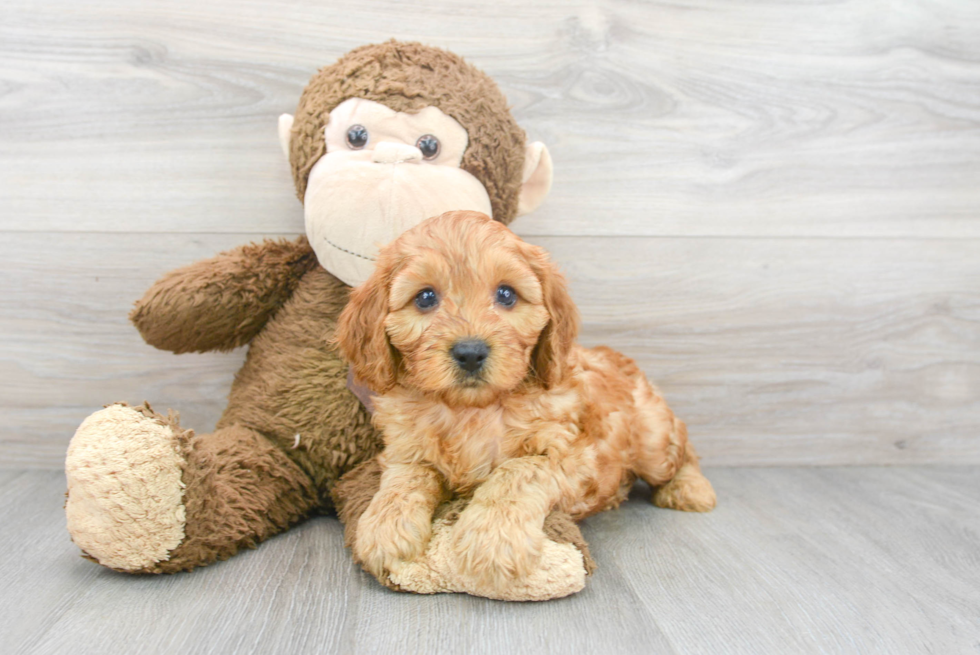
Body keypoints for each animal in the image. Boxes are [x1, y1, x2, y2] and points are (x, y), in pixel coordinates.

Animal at [334, 211, 712, 596]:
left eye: (506, 294)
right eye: (425, 297)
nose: (470, 352)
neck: (470, 411)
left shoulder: (572, 454)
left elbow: (517, 471)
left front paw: (492, 539)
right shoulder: (405, 448)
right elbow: (406, 478)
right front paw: (384, 527)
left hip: (653, 439)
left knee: (683, 448)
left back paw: (690, 488)